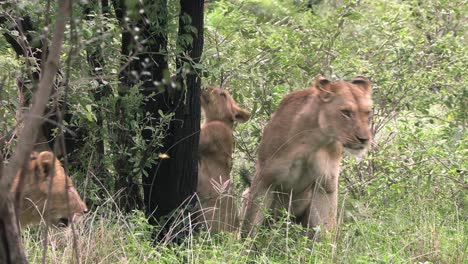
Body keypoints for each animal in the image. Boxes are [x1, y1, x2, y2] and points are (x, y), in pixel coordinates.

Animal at [241, 75, 372, 238]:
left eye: (368, 113)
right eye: (346, 112)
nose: (364, 139)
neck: (313, 140)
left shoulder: (326, 184)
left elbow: (324, 230)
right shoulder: (265, 178)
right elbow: (250, 225)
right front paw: (245, 244)